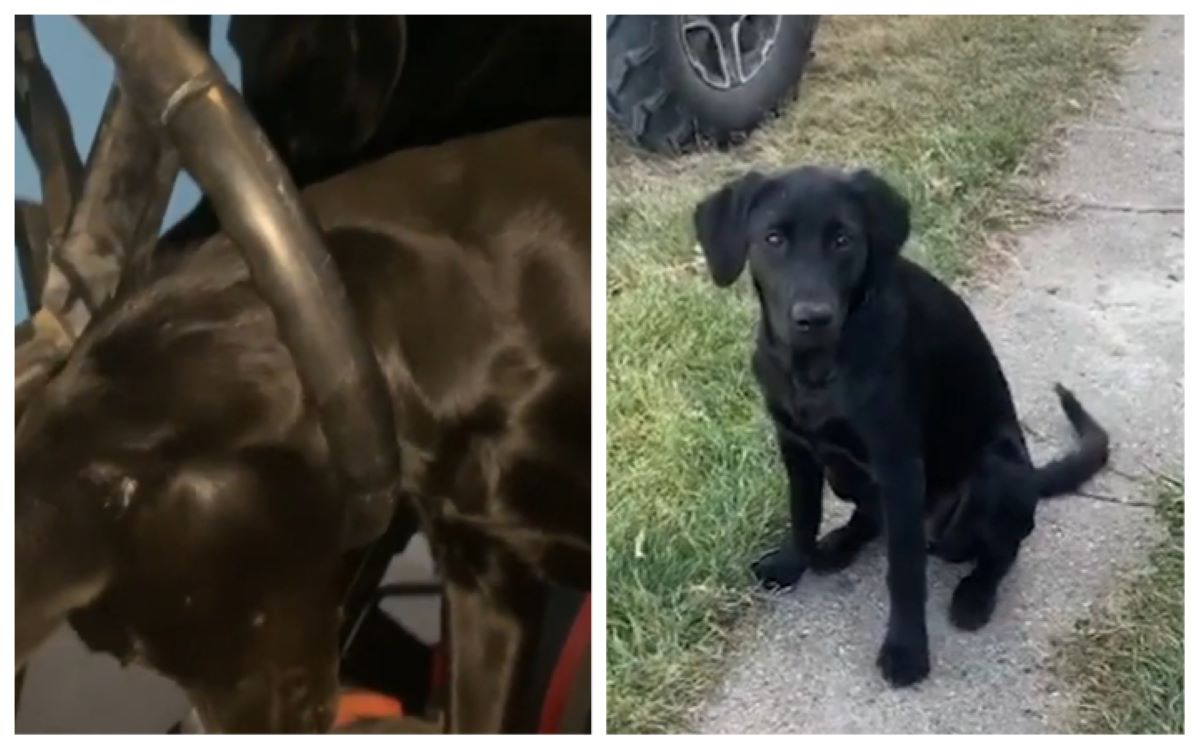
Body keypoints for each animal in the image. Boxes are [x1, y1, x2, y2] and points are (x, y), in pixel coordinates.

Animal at [696, 166, 1104, 686]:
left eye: (843, 239)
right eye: (773, 239)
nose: (813, 317)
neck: (819, 369)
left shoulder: (899, 465)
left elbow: (905, 574)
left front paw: (907, 650)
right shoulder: (795, 446)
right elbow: (803, 512)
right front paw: (792, 563)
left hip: (1000, 474)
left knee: (1002, 550)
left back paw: (975, 595)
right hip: (845, 473)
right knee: (872, 516)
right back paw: (839, 545)